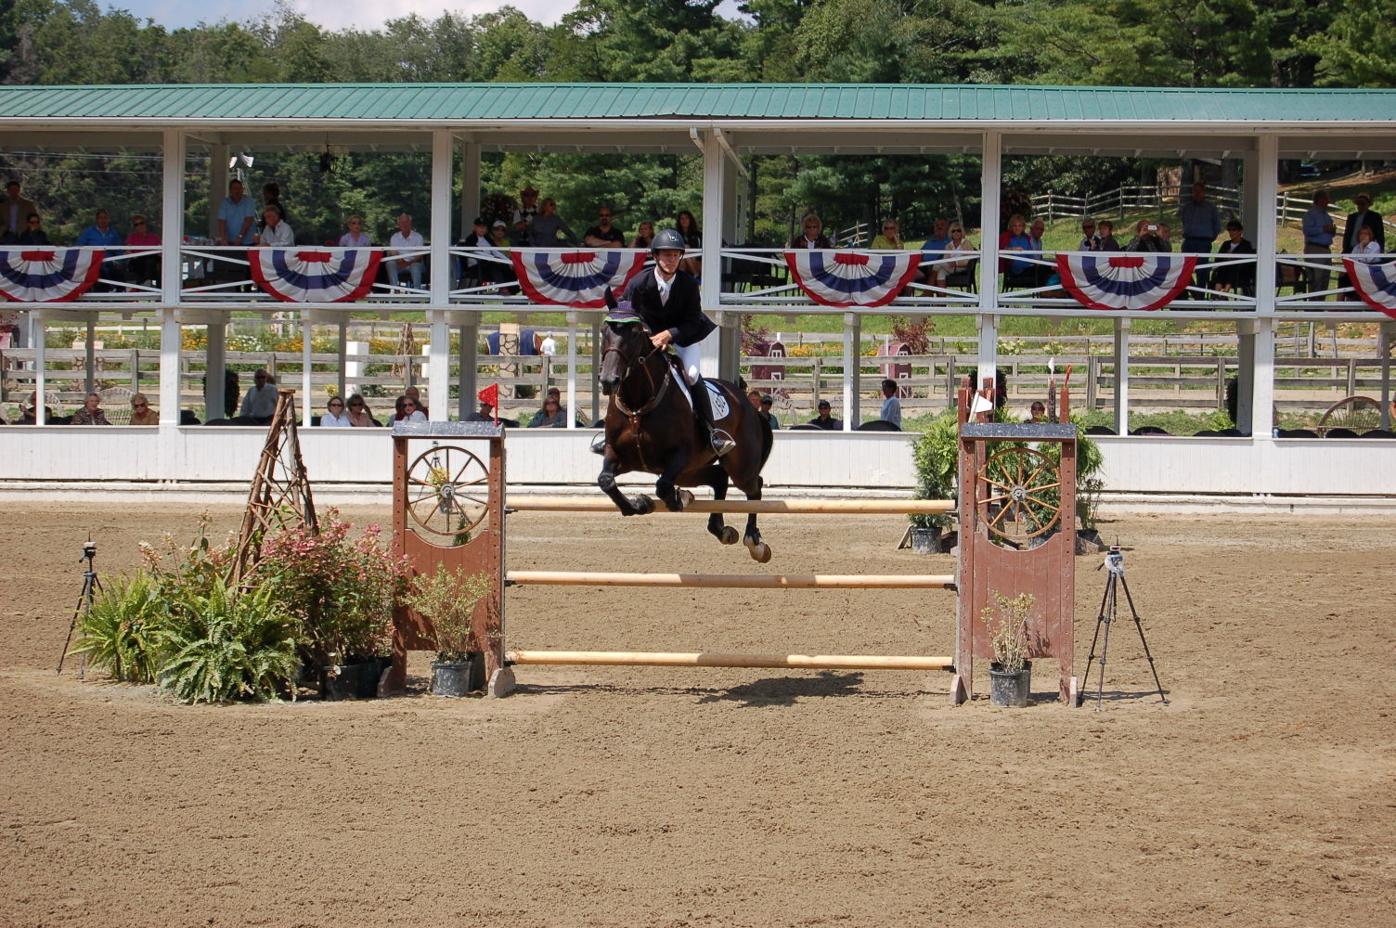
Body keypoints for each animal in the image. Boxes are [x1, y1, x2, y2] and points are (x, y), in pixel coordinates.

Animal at [597, 311, 781, 560]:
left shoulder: (680, 455)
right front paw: (639, 504)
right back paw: (721, 529)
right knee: (719, 478)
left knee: (754, 487)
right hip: (690, 471)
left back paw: (754, 541)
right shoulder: (617, 454)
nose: (609, 381)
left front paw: (676, 500)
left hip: (738, 467)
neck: (637, 405)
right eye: (603, 332)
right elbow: (606, 480)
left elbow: (663, 486)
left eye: (635, 334)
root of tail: (749, 406)